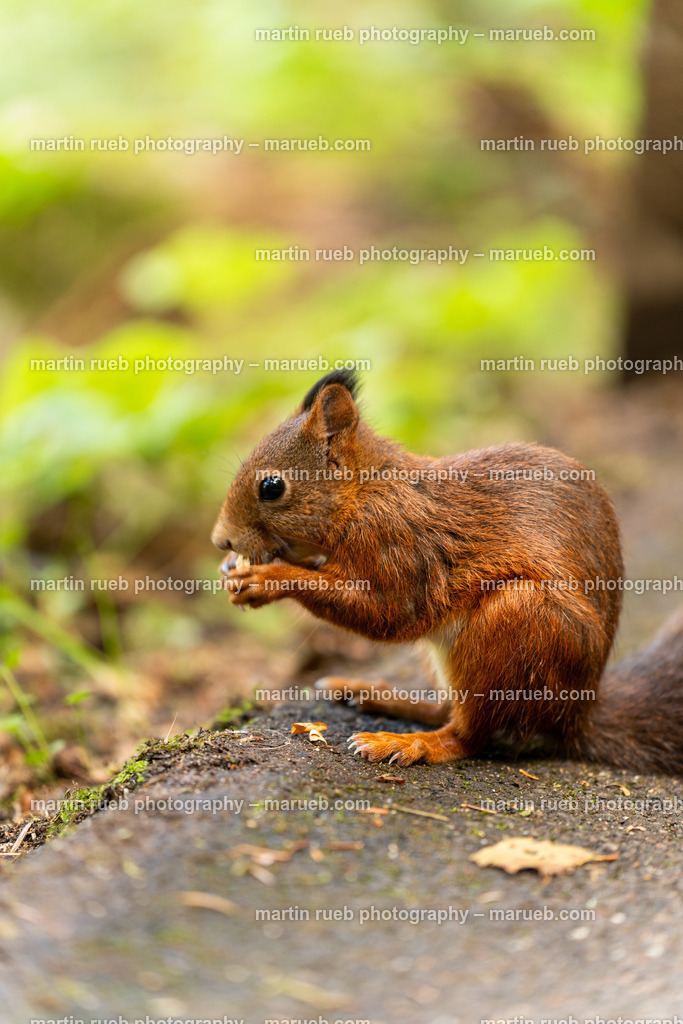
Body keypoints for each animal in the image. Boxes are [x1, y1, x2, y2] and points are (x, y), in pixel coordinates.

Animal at [212, 369, 683, 773]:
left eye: (272, 487)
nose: (221, 540)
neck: (364, 493)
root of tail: (577, 714)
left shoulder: (400, 546)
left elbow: (388, 613)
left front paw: (266, 580)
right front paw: (236, 569)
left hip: (518, 622)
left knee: (470, 735)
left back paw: (409, 742)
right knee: (446, 709)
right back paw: (374, 695)